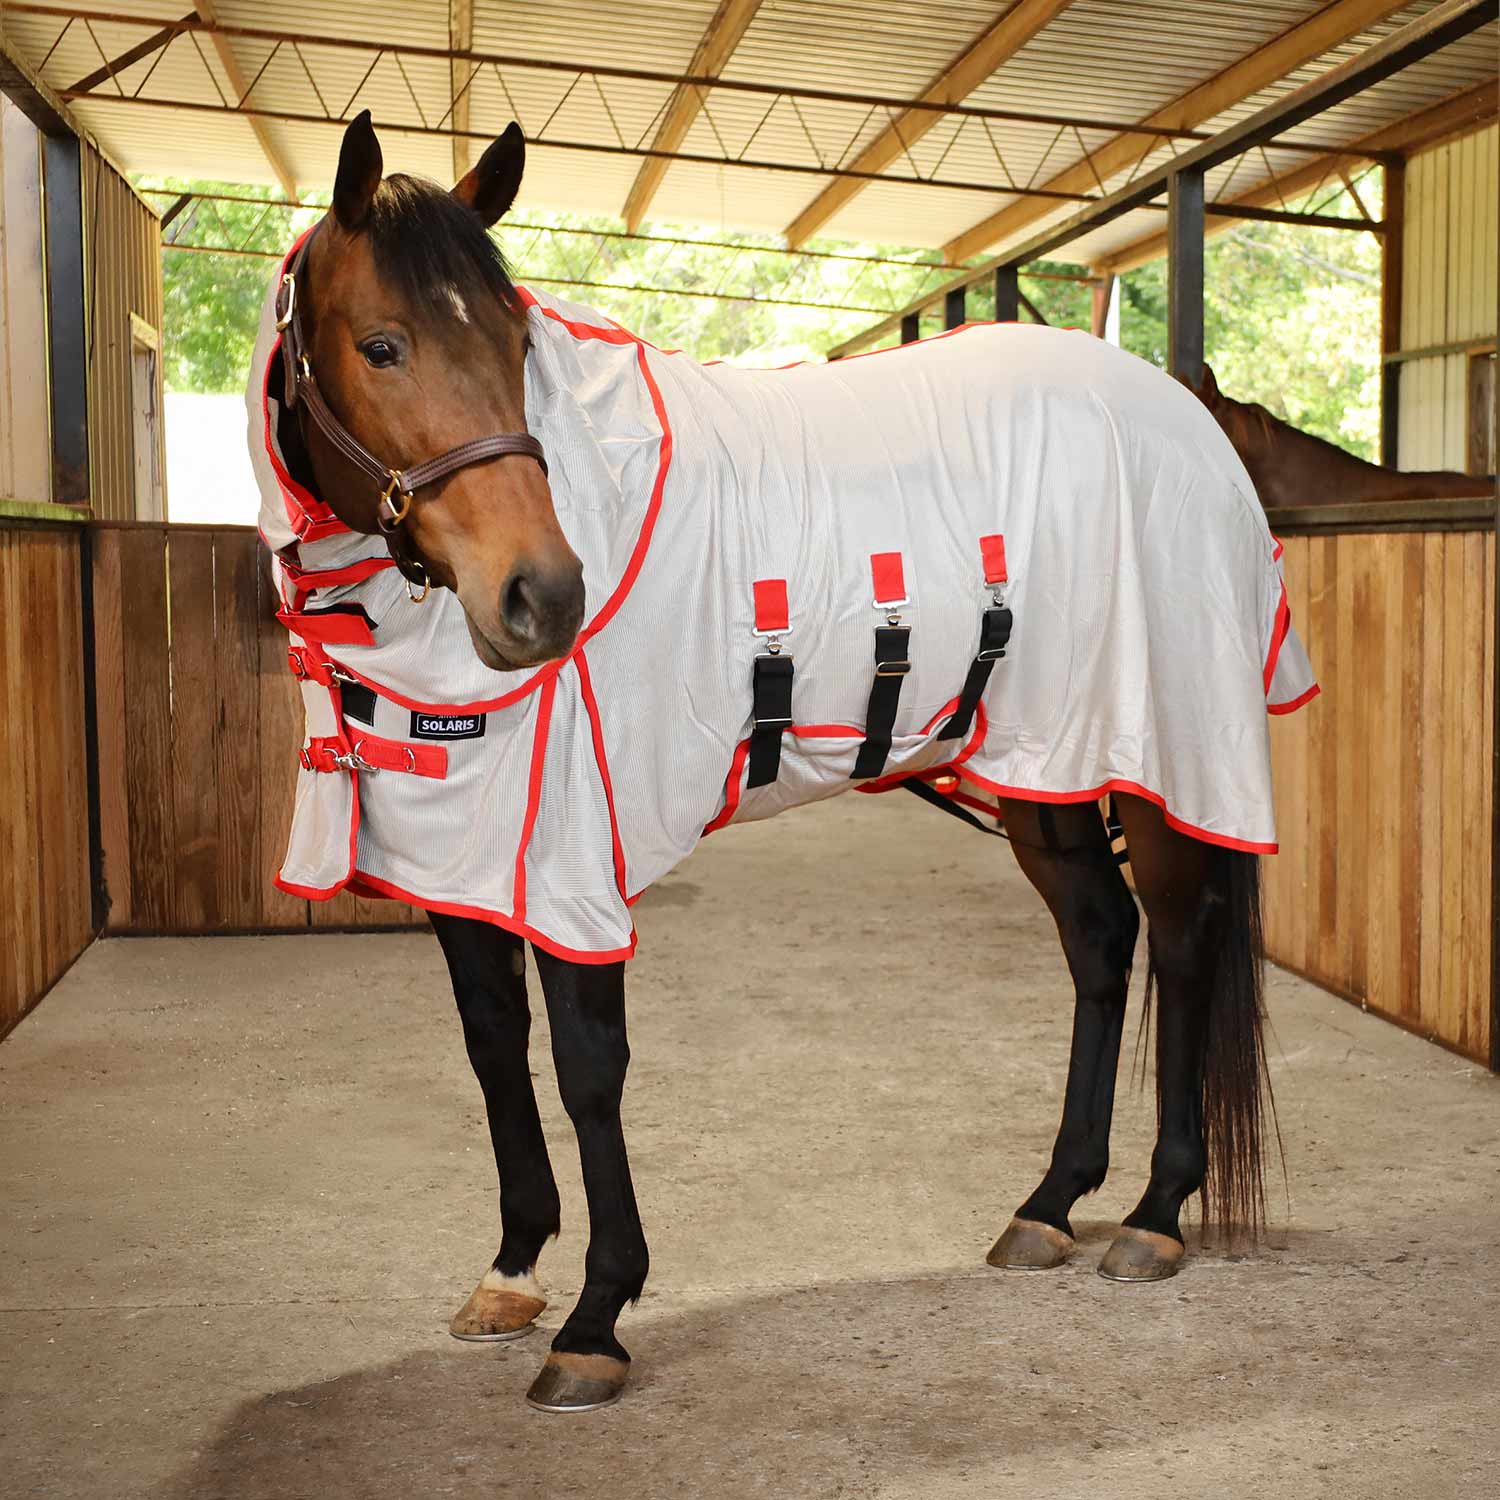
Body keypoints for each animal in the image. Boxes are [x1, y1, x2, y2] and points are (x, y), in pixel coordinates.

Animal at [252, 112, 1314, 1414]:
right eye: (383, 344)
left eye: (515, 341)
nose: (542, 597)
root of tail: (1179, 416)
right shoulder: (467, 850)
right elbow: (495, 1046)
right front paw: (512, 1270)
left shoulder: (572, 852)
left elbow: (590, 1065)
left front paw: (597, 1316)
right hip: (1045, 768)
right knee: (1102, 943)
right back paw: (1051, 1203)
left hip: (1162, 752)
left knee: (1181, 939)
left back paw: (1157, 1214)